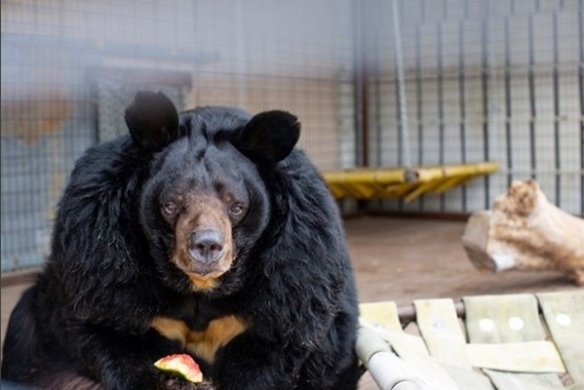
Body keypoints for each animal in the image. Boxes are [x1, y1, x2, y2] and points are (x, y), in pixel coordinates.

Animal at [1, 92, 360, 390]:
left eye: (237, 206)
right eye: (171, 205)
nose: (206, 247)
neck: (199, 288)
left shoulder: (295, 273)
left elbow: (274, 346)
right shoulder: (101, 259)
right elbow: (109, 332)